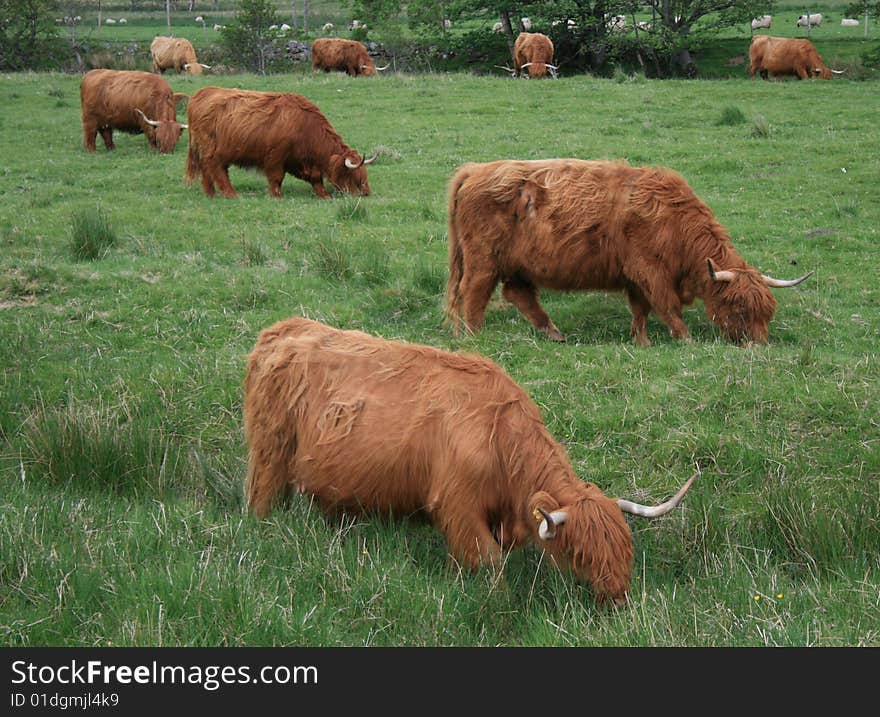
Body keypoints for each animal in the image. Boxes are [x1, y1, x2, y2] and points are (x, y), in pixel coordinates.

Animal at [186, 87, 378, 199]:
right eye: (354, 175)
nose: (366, 192)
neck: (305, 126)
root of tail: (201, 93)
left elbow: (316, 180)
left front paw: (325, 196)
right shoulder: (275, 158)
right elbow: (276, 178)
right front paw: (276, 196)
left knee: (208, 170)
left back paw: (210, 193)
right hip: (212, 150)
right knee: (215, 168)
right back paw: (231, 194)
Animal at [242, 316, 696, 600]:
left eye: (626, 548)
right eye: (580, 553)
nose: (618, 596)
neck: (501, 442)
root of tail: (282, 329)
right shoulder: (458, 507)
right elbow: (489, 565)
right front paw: (499, 601)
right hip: (269, 453)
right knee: (261, 499)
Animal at [446, 161, 812, 346]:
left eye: (767, 312)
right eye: (739, 308)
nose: (758, 347)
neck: (675, 221)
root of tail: (475, 169)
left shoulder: (635, 277)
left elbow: (640, 311)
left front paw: (641, 342)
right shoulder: (650, 271)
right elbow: (666, 308)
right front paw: (686, 341)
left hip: (517, 265)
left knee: (519, 294)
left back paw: (554, 334)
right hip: (483, 259)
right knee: (473, 294)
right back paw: (474, 336)